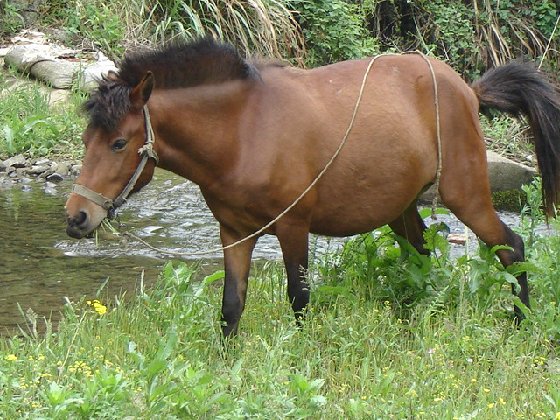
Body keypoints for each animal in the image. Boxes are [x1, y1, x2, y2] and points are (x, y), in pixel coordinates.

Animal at [64, 38, 560, 334]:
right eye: (86, 140)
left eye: (119, 142)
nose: (76, 216)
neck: (244, 130)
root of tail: (468, 90)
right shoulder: (235, 233)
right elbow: (231, 306)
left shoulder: (293, 227)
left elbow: (299, 298)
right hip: (400, 207)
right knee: (419, 254)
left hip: (466, 194)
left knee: (511, 248)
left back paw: (521, 321)